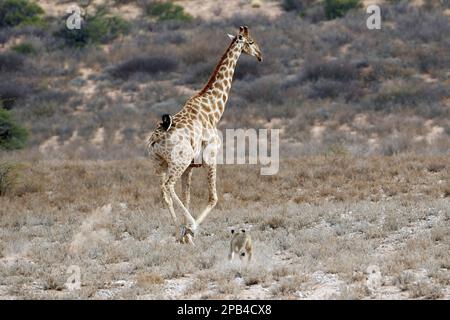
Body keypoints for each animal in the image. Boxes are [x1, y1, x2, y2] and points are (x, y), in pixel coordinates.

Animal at [146, 25, 262, 245]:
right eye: (251, 42)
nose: (260, 55)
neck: (213, 111)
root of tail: (156, 138)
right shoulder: (211, 157)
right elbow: (213, 198)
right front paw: (191, 230)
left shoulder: (190, 167)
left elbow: (187, 196)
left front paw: (186, 235)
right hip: (178, 162)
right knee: (168, 186)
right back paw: (188, 227)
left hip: (160, 164)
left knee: (164, 192)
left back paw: (177, 232)